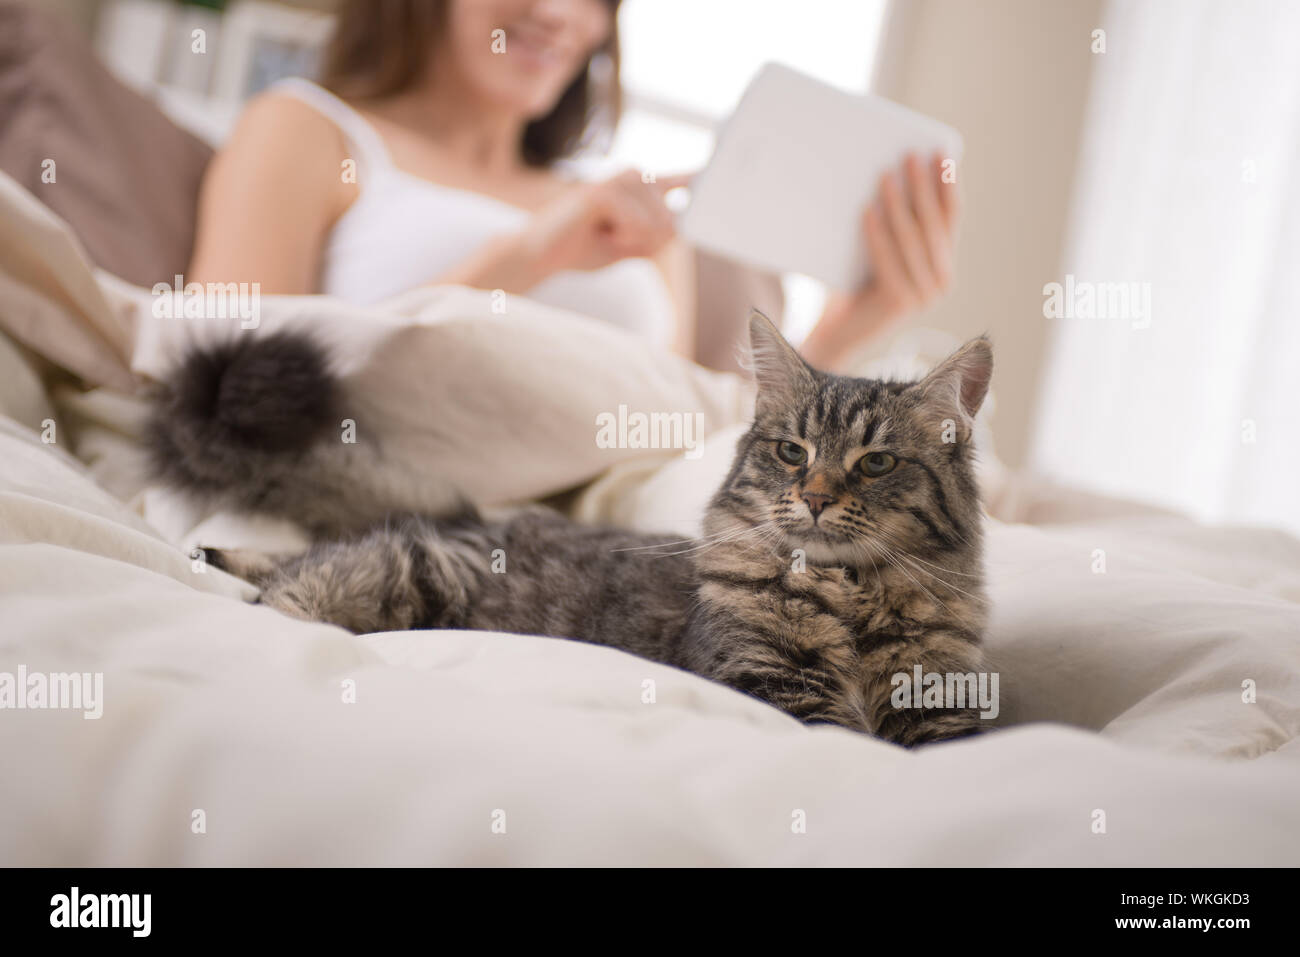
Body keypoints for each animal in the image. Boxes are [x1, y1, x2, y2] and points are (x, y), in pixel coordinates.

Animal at [147, 315, 987, 748]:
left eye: (876, 462)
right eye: (792, 452)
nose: (812, 498)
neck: (852, 593)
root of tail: (474, 519)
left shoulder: (940, 693)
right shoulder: (778, 682)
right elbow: (847, 737)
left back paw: (215, 552)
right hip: (414, 573)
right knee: (298, 586)